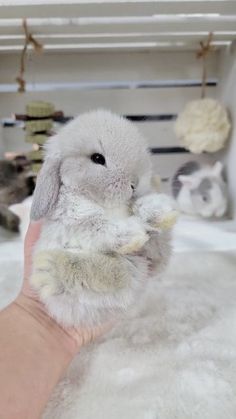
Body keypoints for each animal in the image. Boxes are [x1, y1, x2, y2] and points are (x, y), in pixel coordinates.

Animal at [30, 110, 177, 328]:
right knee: (113, 272)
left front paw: (155, 206)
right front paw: (133, 232)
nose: (135, 184)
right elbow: (100, 226)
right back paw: (49, 271)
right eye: (97, 158)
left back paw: (161, 214)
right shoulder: (76, 217)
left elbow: (135, 206)